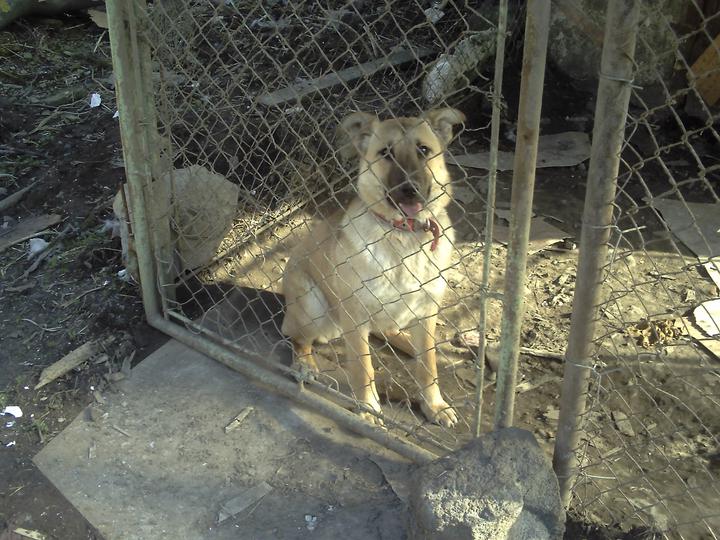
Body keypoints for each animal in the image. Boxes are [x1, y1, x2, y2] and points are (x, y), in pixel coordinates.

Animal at [281, 108, 465, 427]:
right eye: (385, 153)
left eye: (424, 150)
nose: (410, 190)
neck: (404, 236)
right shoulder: (356, 318)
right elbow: (363, 368)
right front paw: (368, 408)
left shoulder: (427, 310)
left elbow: (428, 366)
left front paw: (434, 405)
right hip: (311, 305)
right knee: (298, 338)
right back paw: (305, 364)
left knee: (395, 333)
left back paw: (410, 343)